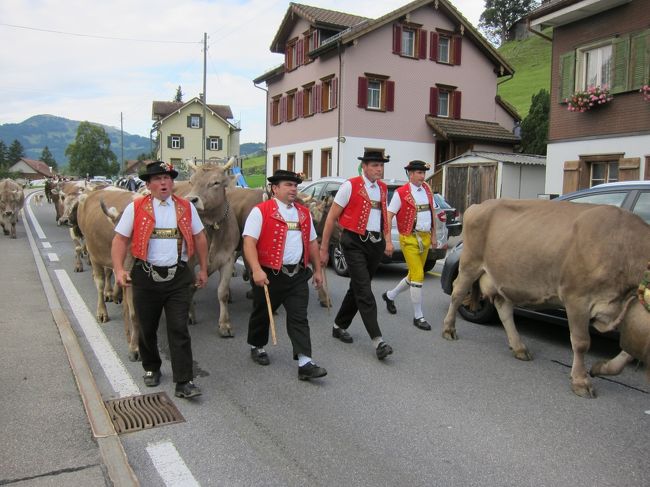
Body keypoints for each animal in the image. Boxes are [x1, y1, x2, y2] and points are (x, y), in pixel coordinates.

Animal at [440, 200, 648, 398]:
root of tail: (480, 205)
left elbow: (631, 351)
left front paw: (600, 368)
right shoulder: (577, 298)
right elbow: (581, 343)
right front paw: (581, 382)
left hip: (501, 277)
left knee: (503, 308)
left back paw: (519, 348)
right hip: (470, 264)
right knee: (458, 293)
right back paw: (449, 329)